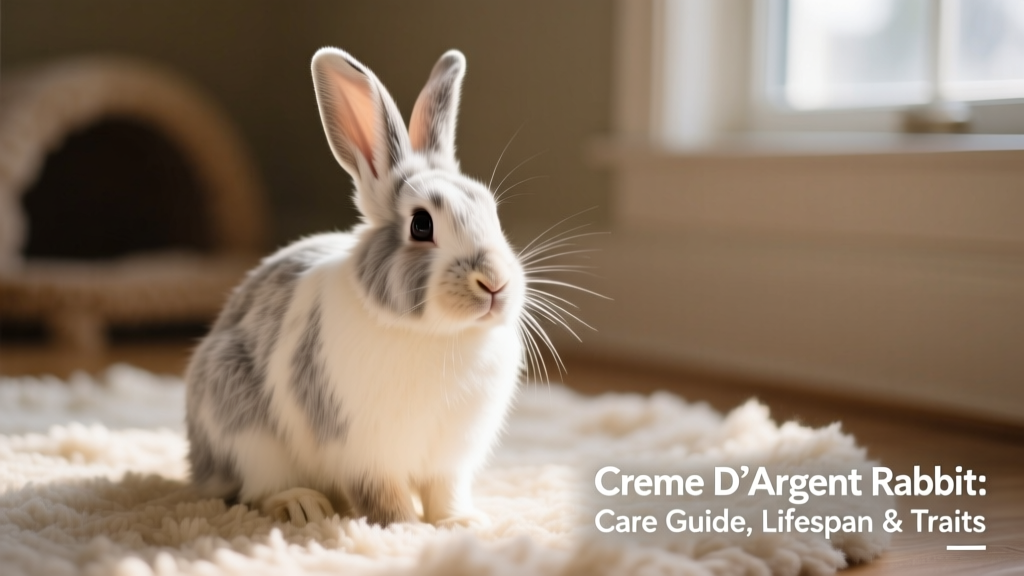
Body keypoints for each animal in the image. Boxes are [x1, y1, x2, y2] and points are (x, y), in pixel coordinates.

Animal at [185, 47, 529, 528]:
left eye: (491, 211)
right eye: (421, 225)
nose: (495, 283)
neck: (438, 335)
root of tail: (200, 465)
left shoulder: (450, 460)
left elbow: (445, 493)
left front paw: (461, 523)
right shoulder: (366, 451)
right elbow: (382, 494)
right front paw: (402, 527)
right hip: (245, 427)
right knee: (257, 488)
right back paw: (302, 505)